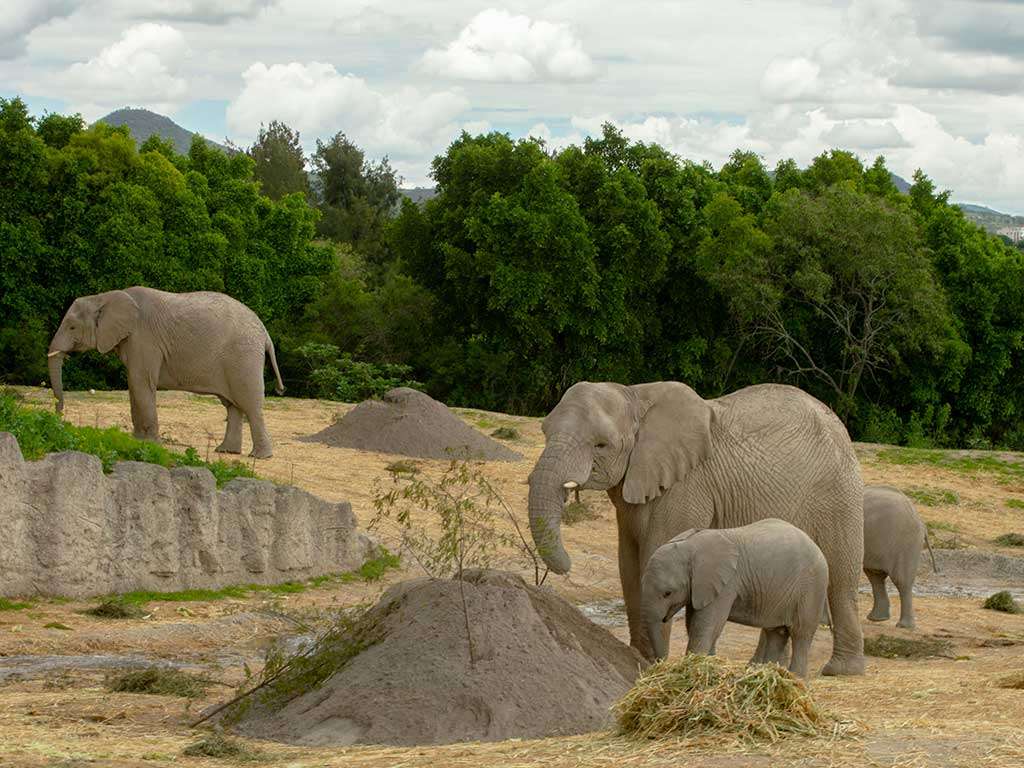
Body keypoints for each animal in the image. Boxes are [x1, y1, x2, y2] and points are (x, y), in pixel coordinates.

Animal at [48, 286, 284, 456]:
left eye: (71, 326)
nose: (59, 416)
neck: (104, 297)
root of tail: (265, 333)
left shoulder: (144, 338)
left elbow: (140, 383)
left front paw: (151, 444)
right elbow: (134, 386)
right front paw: (137, 440)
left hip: (243, 357)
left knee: (250, 404)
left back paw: (259, 456)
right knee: (232, 406)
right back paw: (226, 451)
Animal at [638, 520, 831, 675]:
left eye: (668, 593)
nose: (660, 666)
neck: (690, 546)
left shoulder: (726, 583)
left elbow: (706, 625)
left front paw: (694, 667)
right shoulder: (700, 587)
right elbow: (695, 623)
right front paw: (710, 664)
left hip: (812, 587)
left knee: (801, 633)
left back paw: (797, 680)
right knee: (776, 632)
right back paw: (768, 673)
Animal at [864, 487, 937, 630]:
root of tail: (920, 521)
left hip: (904, 542)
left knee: (901, 581)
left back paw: (904, 626)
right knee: (875, 575)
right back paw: (877, 619)